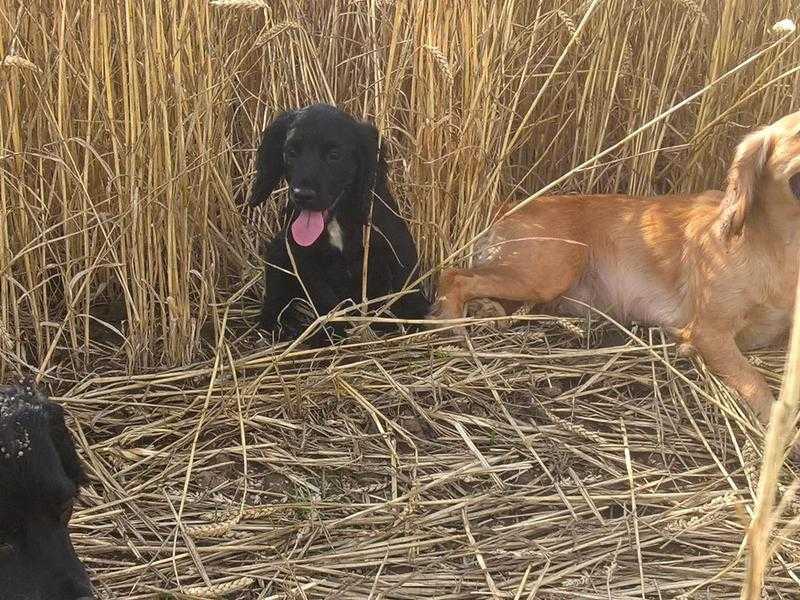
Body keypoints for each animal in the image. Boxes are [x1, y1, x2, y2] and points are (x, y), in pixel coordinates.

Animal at [248, 103, 428, 342]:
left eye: (334, 155)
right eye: (291, 152)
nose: (302, 195)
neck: (337, 219)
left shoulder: (396, 244)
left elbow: (406, 282)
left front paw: (415, 318)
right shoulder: (302, 257)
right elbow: (323, 296)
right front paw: (333, 330)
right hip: (277, 250)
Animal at [434, 109, 800, 436]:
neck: (781, 249)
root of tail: (508, 208)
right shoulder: (709, 332)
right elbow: (755, 383)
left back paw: (486, 312)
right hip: (548, 271)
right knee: (454, 275)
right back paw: (452, 325)